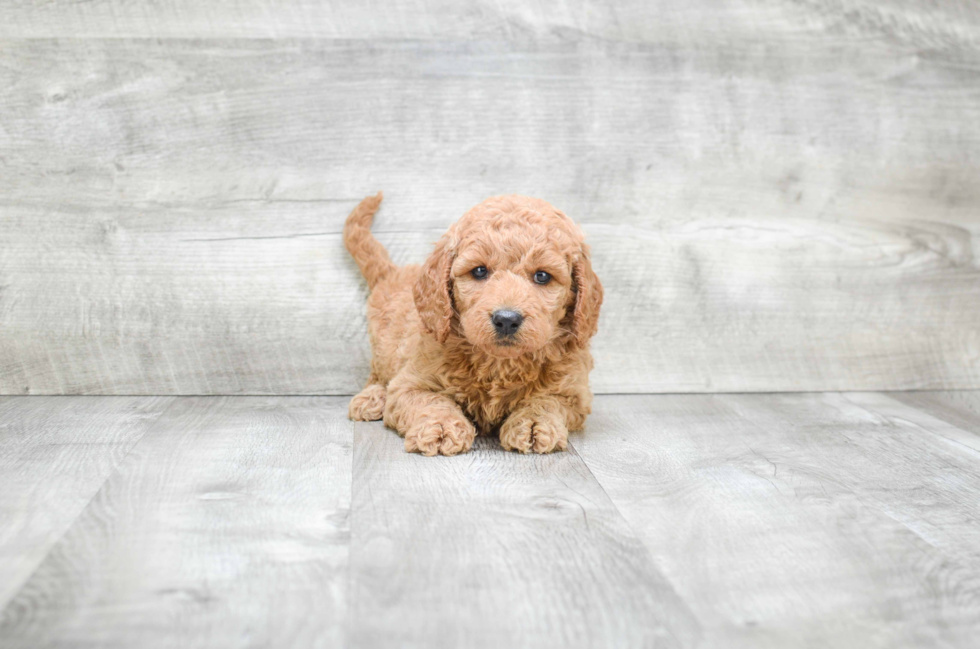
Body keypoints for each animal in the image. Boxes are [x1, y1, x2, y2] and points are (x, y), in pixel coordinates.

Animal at [344, 192, 604, 456]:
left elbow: (548, 401)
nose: (507, 319)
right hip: (384, 349)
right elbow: (429, 400)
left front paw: (533, 423)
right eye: (479, 271)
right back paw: (372, 398)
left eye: (542, 276)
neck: (499, 364)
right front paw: (441, 425)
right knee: (377, 375)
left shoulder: (574, 393)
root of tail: (393, 273)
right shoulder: (410, 382)